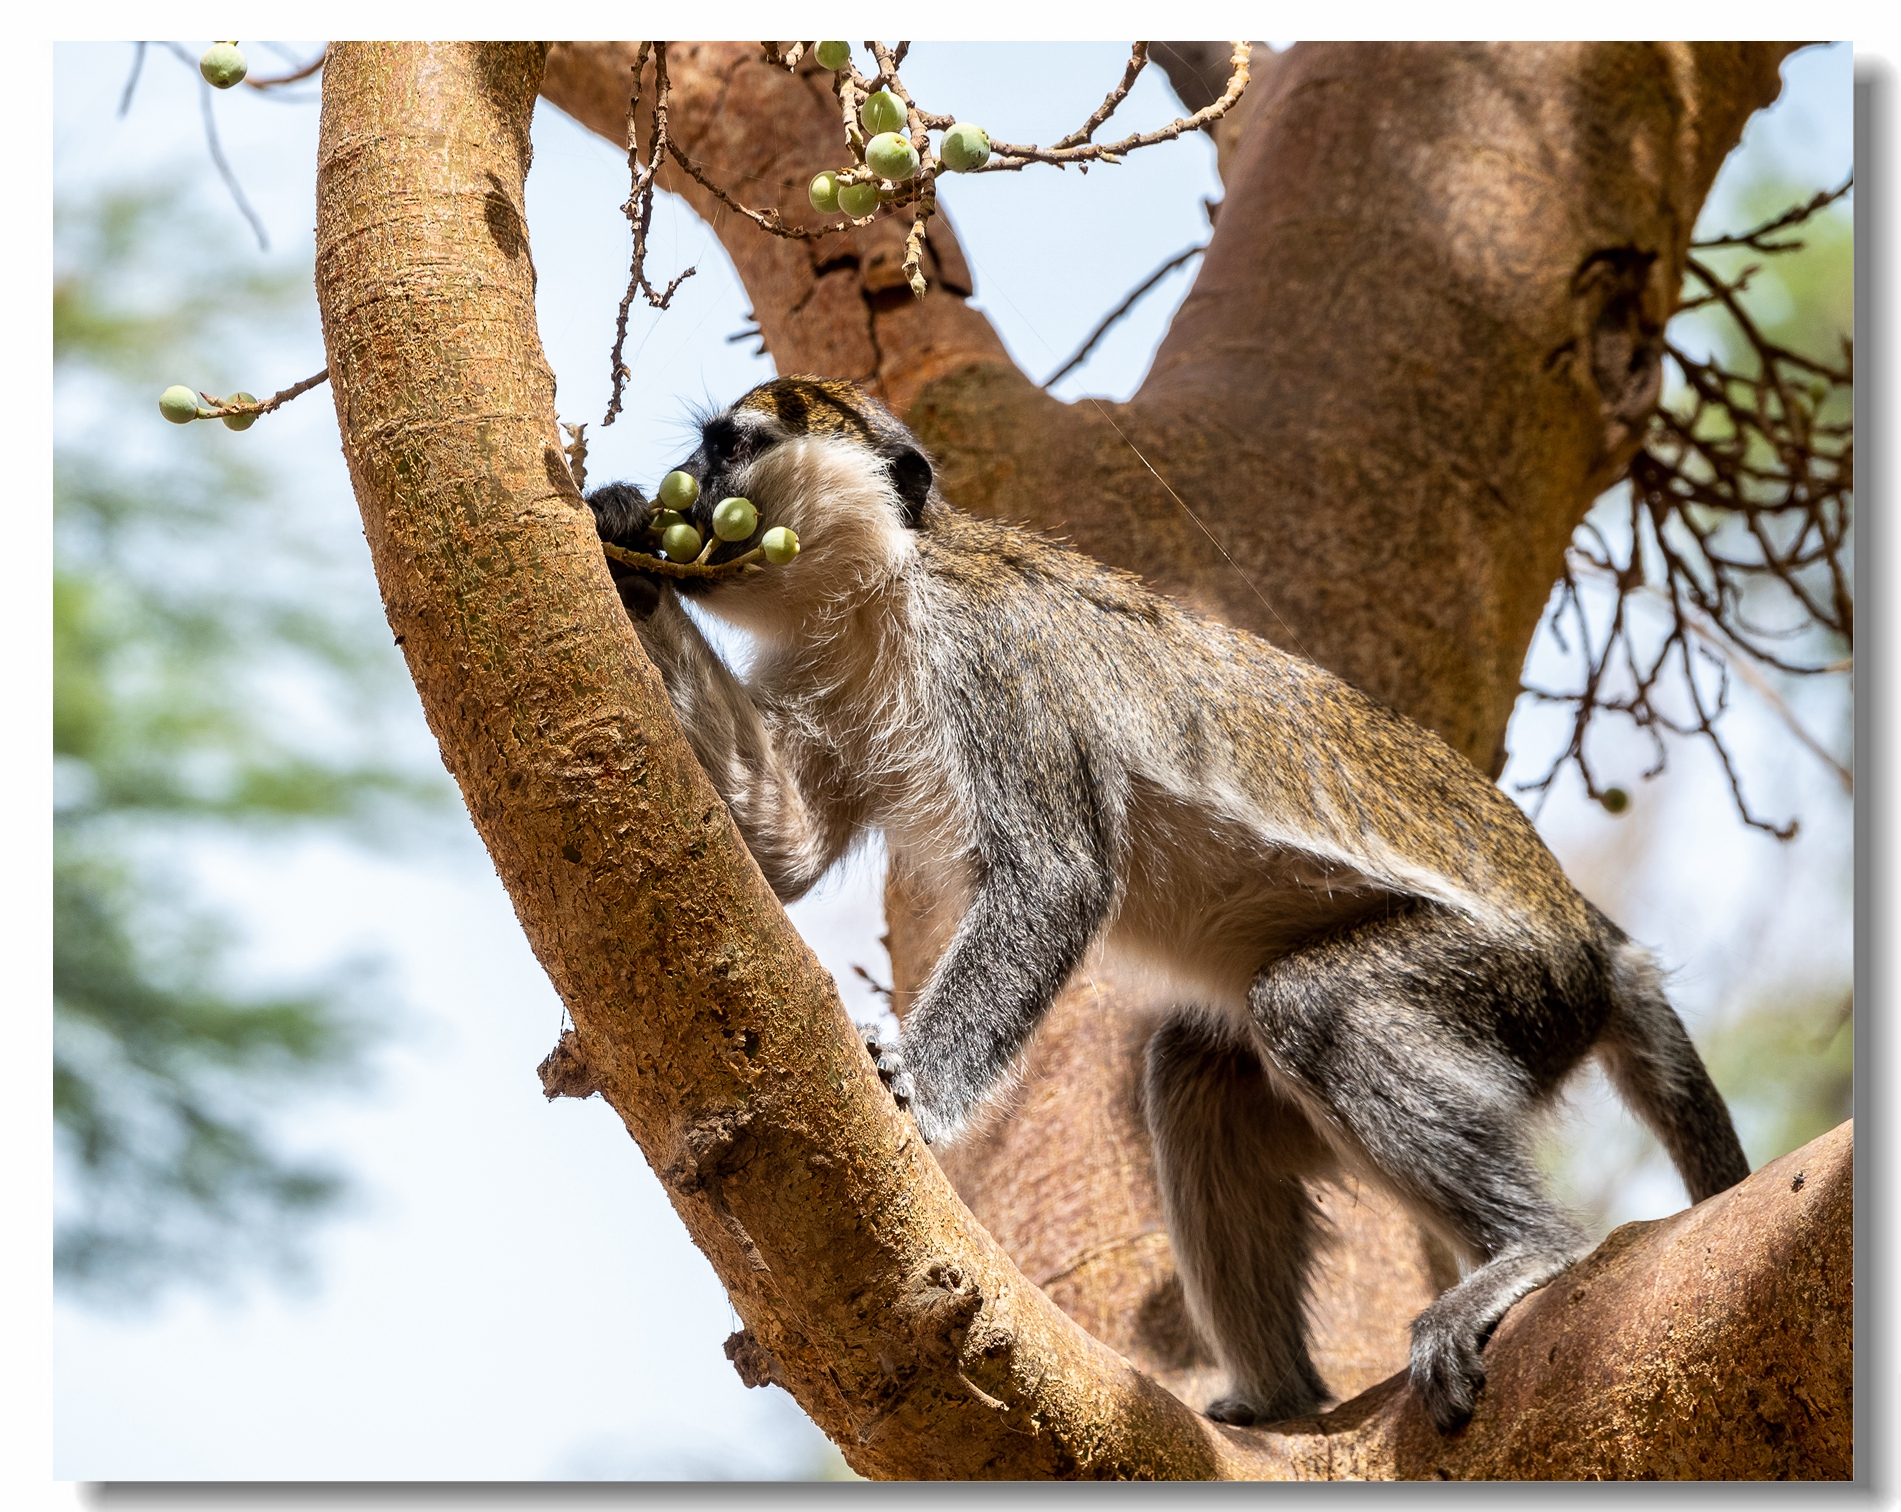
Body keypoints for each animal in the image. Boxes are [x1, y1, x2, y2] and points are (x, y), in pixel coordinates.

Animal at [581, 374, 1748, 1430]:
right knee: (1193, 1069)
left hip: (1512, 985)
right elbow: (778, 850)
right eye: (701, 454)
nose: (687, 486)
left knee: (1314, 1010)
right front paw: (617, 536)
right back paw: (1279, 1404)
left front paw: (913, 1084)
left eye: (732, 451)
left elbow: (1054, 875)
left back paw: (1528, 1252)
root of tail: (1592, 938)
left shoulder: (991, 652)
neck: (880, 592)